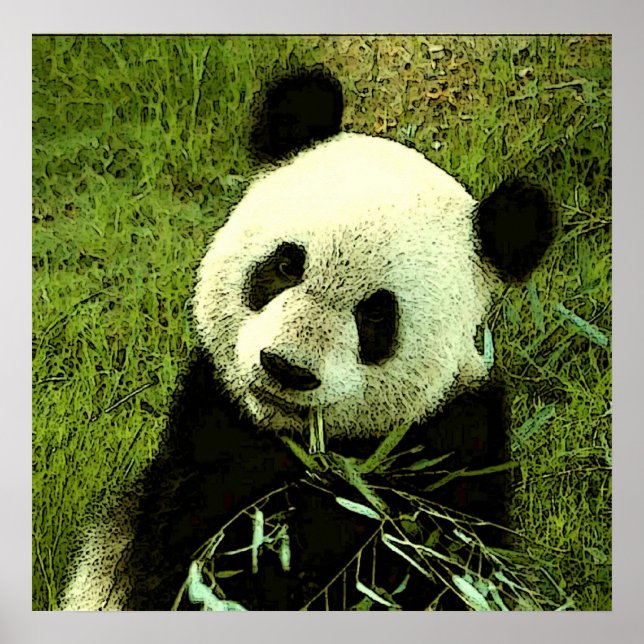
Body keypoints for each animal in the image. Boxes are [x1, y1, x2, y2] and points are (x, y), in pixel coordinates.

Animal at [61, 69, 554, 611]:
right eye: (285, 265)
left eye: (376, 315)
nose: (286, 368)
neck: (312, 455)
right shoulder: (204, 441)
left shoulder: (451, 456)